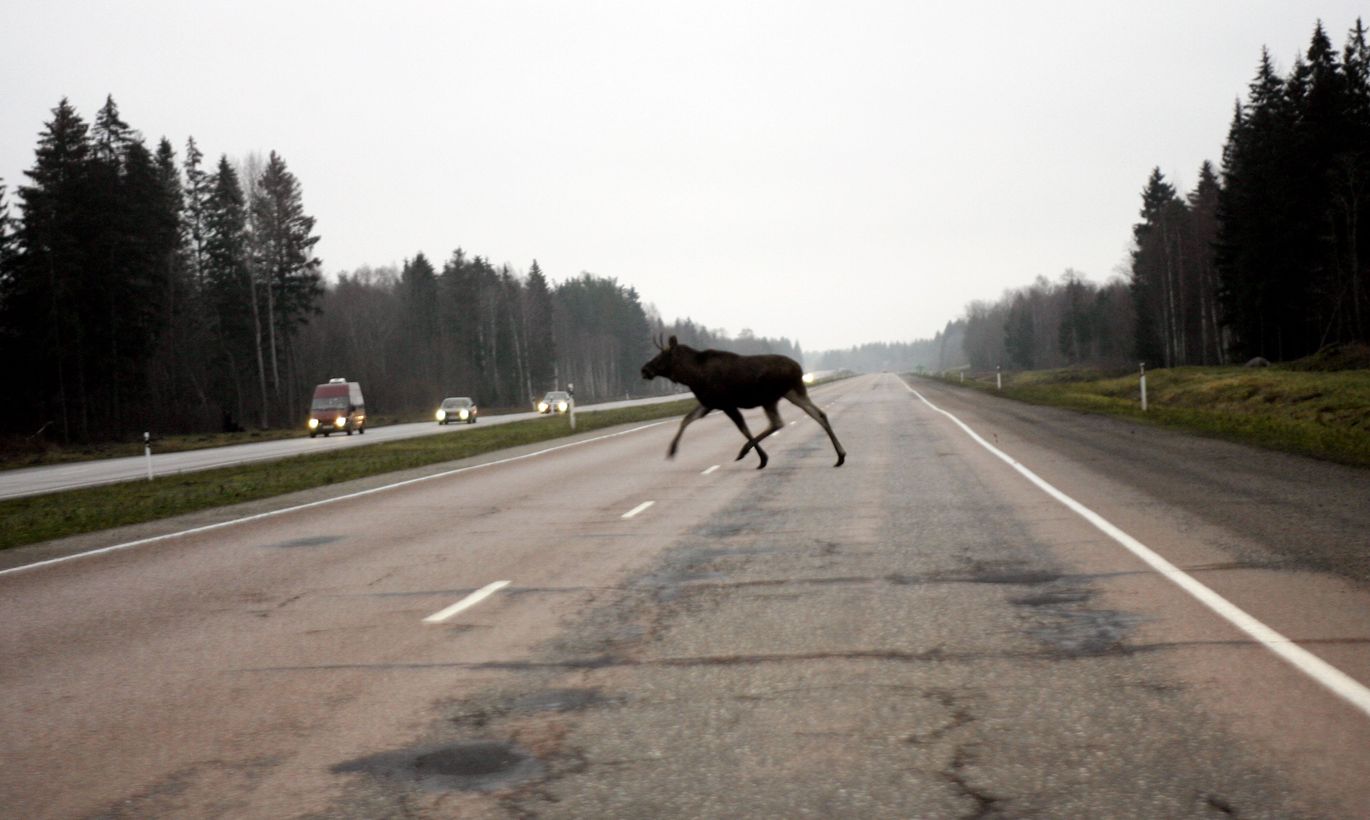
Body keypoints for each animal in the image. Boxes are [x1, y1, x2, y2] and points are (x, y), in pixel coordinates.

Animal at [641, 334, 843, 468]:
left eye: (661, 356)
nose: (644, 369)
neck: (691, 377)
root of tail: (798, 368)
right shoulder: (709, 403)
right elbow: (687, 419)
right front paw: (671, 450)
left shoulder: (726, 403)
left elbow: (743, 428)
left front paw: (762, 458)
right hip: (793, 392)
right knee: (818, 413)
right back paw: (840, 456)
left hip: (770, 397)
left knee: (777, 422)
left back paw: (745, 451)